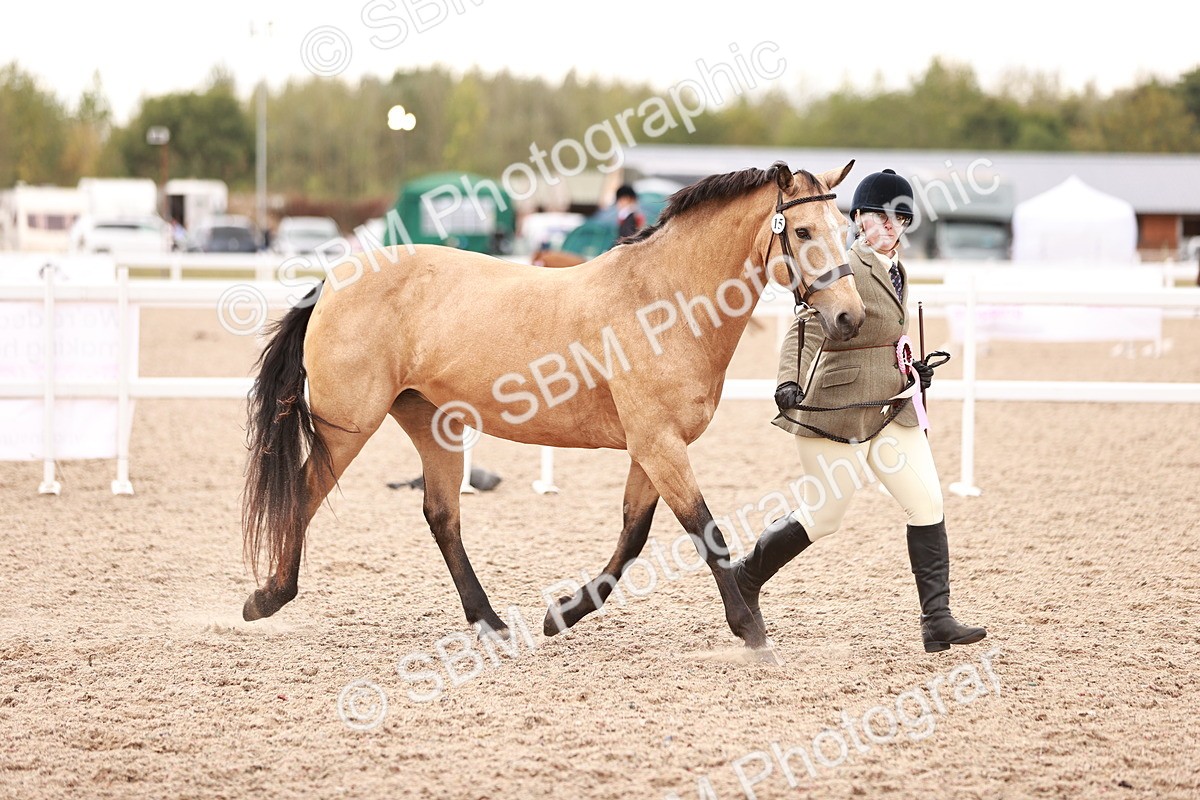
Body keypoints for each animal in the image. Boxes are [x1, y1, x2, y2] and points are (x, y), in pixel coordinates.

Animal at [241, 160, 865, 653]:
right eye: (802, 229)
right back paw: (268, 598)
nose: (850, 317)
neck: (661, 303)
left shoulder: (652, 447)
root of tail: (334, 281)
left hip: (431, 423)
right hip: (348, 427)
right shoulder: (660, 445)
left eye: (846, 229)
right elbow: (703, 528)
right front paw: (750, 629)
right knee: (304, 494)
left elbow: (632, 536)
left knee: (442, 516)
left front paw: (562, 614)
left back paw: (491, 623)